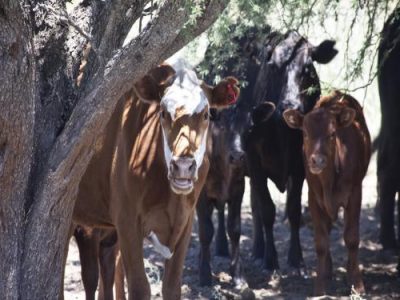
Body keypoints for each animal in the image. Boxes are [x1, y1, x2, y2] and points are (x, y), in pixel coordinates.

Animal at [71, 61, 238, 300]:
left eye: (206, 114)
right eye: (163, 113)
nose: (183, 167)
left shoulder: (186, 222)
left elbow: (172, 286)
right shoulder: (127, 221)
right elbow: (139, 287)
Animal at [242, 31, 340, 272]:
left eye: (307, 67)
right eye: (273, 67)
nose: (290, 105)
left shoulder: (300, 164)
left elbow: (294, 210)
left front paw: (296, 259)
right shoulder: (254, 160)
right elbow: (267, 210)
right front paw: (270, 259)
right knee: (255, 207)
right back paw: (257, 251)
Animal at [282, 91, 370, 296]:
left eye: (332, 134)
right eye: (305, 134)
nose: (317, 160)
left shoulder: (355, 193)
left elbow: (352, 238)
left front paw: (356, 284)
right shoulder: (314, 197)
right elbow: (321, 243)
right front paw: (320, 287)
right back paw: (328, 271)